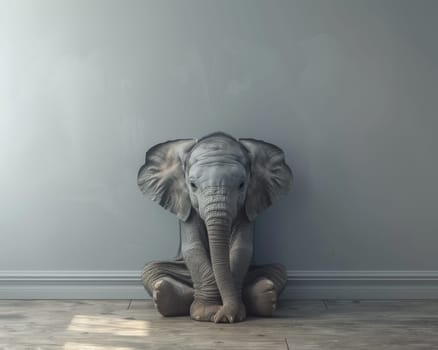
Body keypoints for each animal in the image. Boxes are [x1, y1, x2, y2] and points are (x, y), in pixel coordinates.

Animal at [139, 131, 292, 322]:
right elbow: (193, 247)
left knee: (279, 270)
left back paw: (265, 294)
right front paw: (206, 313)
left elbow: (242, 249)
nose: (221, 317)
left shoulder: (248, 205)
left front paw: (229, 314)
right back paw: (166, 294)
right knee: (150, 269)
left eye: (242, 185)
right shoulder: (187, 205)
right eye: (193, 185)